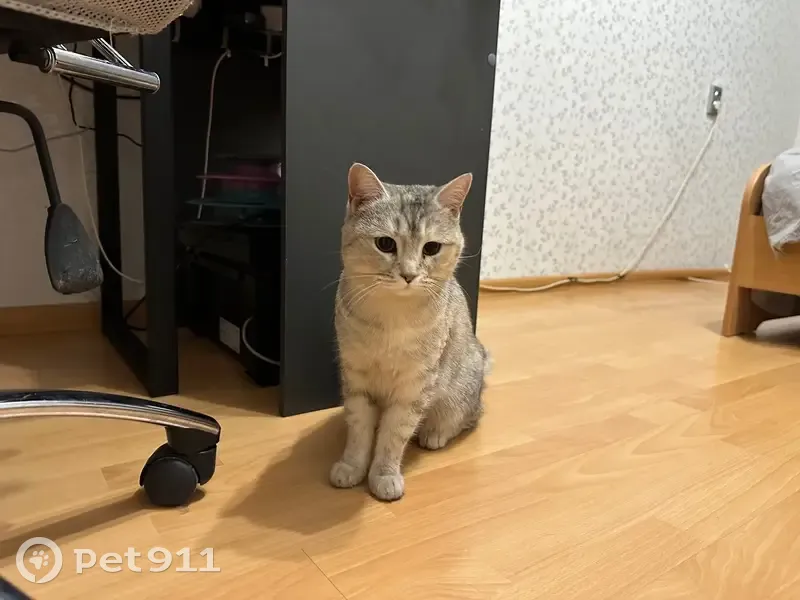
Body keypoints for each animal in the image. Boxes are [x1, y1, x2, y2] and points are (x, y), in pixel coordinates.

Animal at [330, 162, 490, 501]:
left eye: (432, 248)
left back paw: (435, 432)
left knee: (468, 417)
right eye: (385, 244)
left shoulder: (414, 386)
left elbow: (394, 435)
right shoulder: (356, 378)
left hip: (459, 389)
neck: (393, 317)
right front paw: (352, 465)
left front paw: (384, 474)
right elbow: (359, 429)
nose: (408, 274)